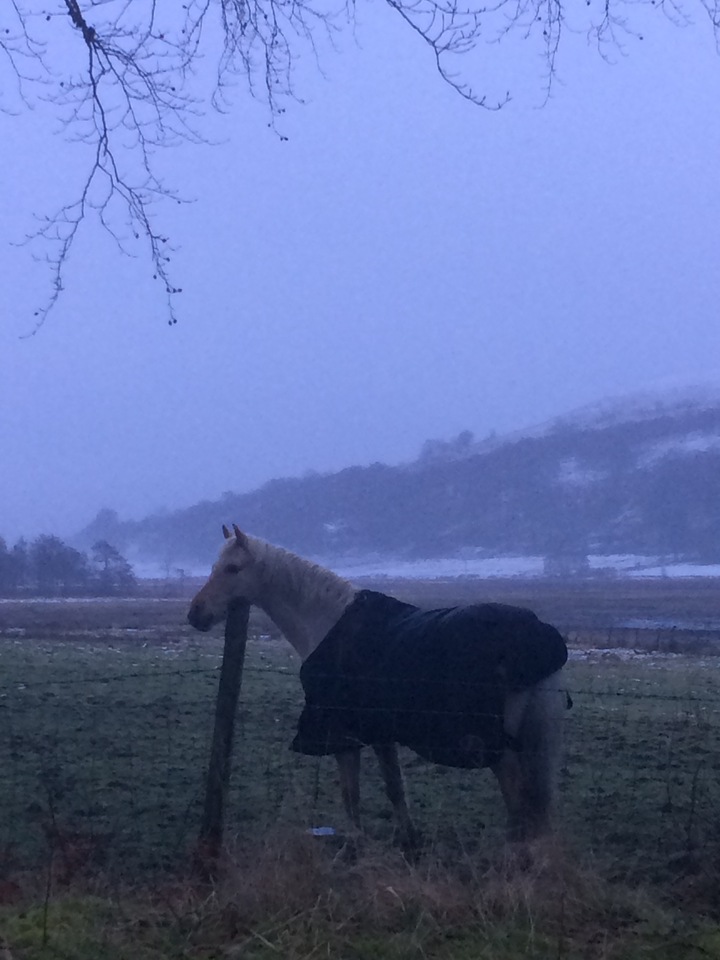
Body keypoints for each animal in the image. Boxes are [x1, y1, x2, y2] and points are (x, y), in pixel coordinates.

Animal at [188, 524, 568, 857]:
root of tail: (538, 634)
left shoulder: (341, 736)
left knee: (520, 803)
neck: (328, 622)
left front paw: (354, 846)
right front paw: (410, 841)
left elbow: (350, 793)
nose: (195, 614)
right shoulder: (381, 734)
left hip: (498, 750)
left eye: (233, 568)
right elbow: (394, 788)